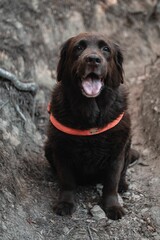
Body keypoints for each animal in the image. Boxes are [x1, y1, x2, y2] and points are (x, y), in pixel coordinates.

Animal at [45, 32, 139, 220]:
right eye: (79, 47)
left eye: (106, 49)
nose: (93, 59)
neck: (90, 114)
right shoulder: (61, 150)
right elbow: (67, 181)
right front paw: (65, 203)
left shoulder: (116, 154)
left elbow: (111, 183)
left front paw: (112, 206)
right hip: (48, 146)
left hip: (127, 145)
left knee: (123, 173)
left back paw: (123, 185)